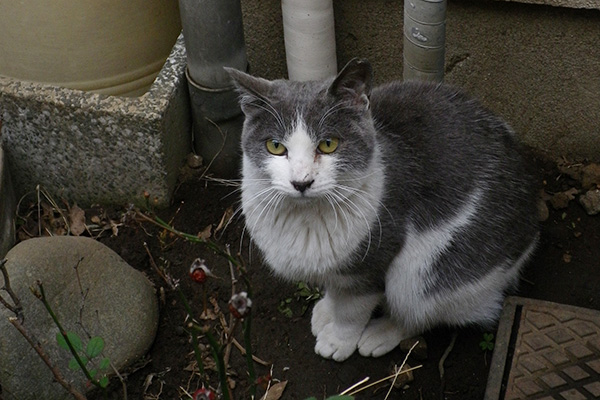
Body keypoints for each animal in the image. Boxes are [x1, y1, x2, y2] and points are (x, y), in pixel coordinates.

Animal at [225, 59, 540, 362]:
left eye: (328, 144)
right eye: (275, 146)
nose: (301, 182)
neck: (305, 219)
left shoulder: (369, 264)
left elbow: (352, 310)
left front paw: (338, 340)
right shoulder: (339, 264)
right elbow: (334, 288)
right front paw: (326, 309)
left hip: (423, 271)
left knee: (424, 311)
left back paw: (382, 333)